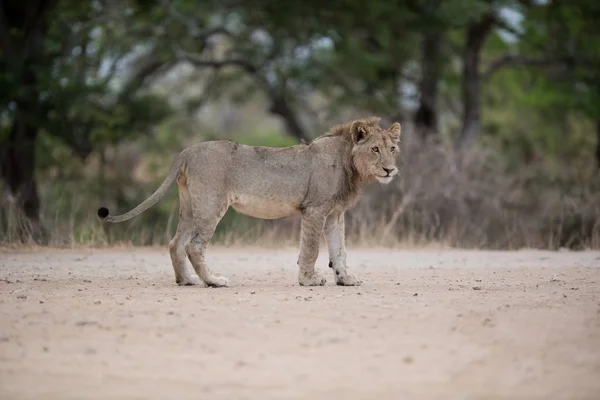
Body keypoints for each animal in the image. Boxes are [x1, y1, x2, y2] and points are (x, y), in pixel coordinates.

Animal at [97, 115, 398, 288]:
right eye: (375, 149)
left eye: (393, 148)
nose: (390, 170)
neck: (349, 162)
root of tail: (187, 151)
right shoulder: (314, 209)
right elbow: (311, 249)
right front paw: (309, 280)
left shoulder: (335, 214)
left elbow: (340, 250)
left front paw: (345, 279)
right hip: (211, 204)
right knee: (194, 246)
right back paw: (213, 281)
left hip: (190, 207)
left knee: (175, 243)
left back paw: (187, 280)